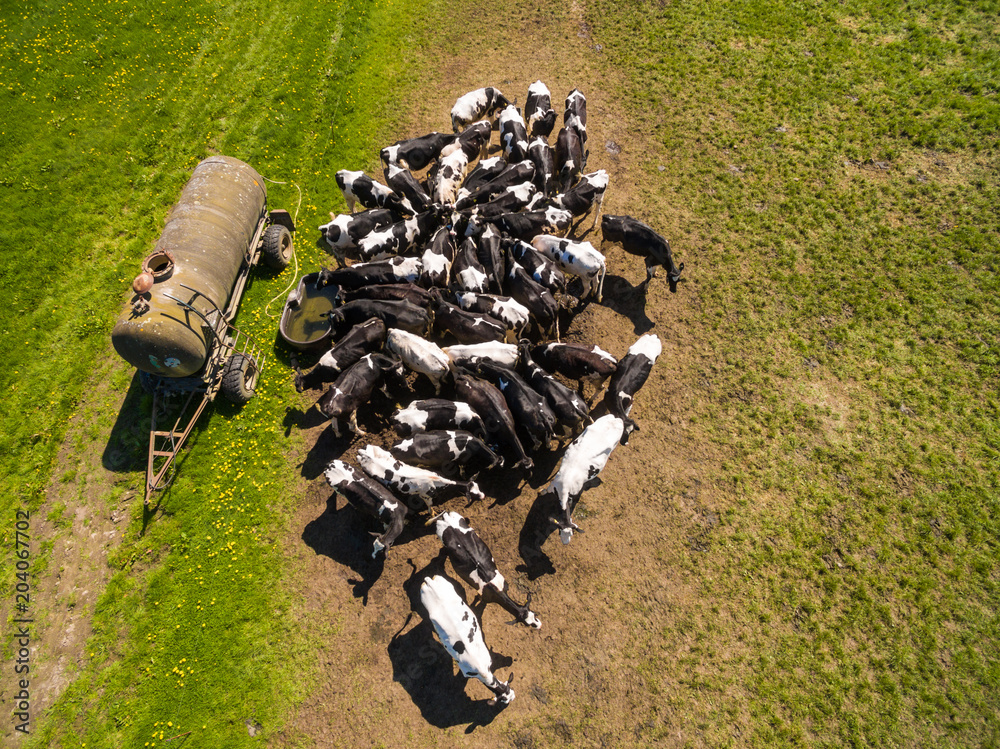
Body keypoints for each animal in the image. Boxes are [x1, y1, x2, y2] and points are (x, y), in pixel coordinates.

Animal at [356, 444, 485, 511]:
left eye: (478, 486)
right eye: (473, 494)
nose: (483, 496)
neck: (437, 482)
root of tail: (363, 454)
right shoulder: (425, 496)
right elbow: (429, 506)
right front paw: (432, 512)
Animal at [539, 414, 625, 543]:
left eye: (571, 533)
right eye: (560, 531)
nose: (565, 543)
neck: (564, 489)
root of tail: (615, 418)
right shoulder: (553, 484)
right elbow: (546, 490)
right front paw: (541, 492)